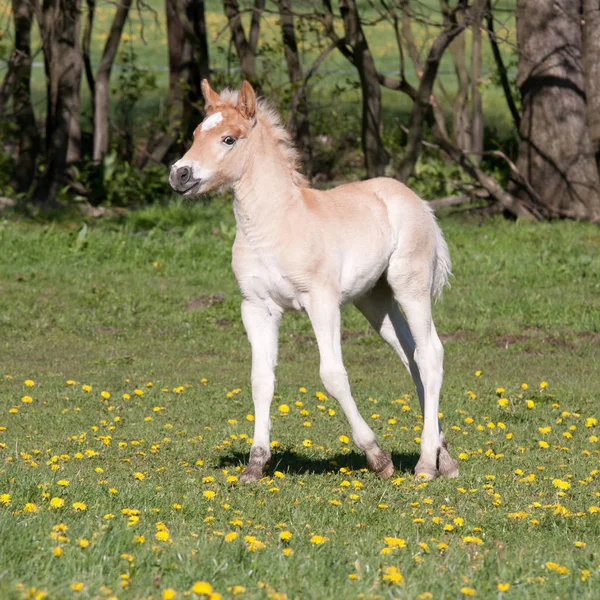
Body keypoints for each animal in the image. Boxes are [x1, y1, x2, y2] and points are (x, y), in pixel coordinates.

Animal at [169, 81, 460, 482]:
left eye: (229, 138)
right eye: (196, 133)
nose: (179, 174)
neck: (274, 224)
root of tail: (419, 202)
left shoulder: (321, 300)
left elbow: (333, 376)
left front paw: (378, 457)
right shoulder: (256, 307)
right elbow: (261, 379)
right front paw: (255, 465)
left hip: (410, 286)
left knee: (430, 353)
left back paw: (425, 465)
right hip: (375, 299)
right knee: (410, 355)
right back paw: (444, 458)